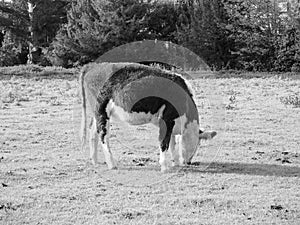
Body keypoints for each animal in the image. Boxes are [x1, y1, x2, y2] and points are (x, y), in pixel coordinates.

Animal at [79, 62, 216, 171]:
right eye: (198, 144)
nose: (188, 162)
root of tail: (93, 66)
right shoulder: (166, 119)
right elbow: (164, 142)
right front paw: (164, 167)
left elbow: (172, 143)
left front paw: (175, 163)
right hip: (102, 111)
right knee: (103, 134)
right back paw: (112, 164)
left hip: (96, 113)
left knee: (93, 131)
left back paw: (95, 160)